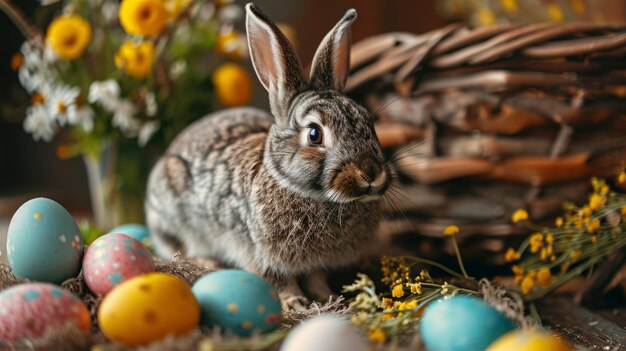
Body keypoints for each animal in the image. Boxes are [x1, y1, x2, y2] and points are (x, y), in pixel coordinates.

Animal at [145, 3, 390, 310]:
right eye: (314, 134)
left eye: (369, 122)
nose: (370, 173)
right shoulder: (259, 253)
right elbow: (279, 281)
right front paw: (296, 303)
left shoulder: (316, 263)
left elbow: (316, 278)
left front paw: (329, 299)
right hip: (171, 216)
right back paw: (208, 261)